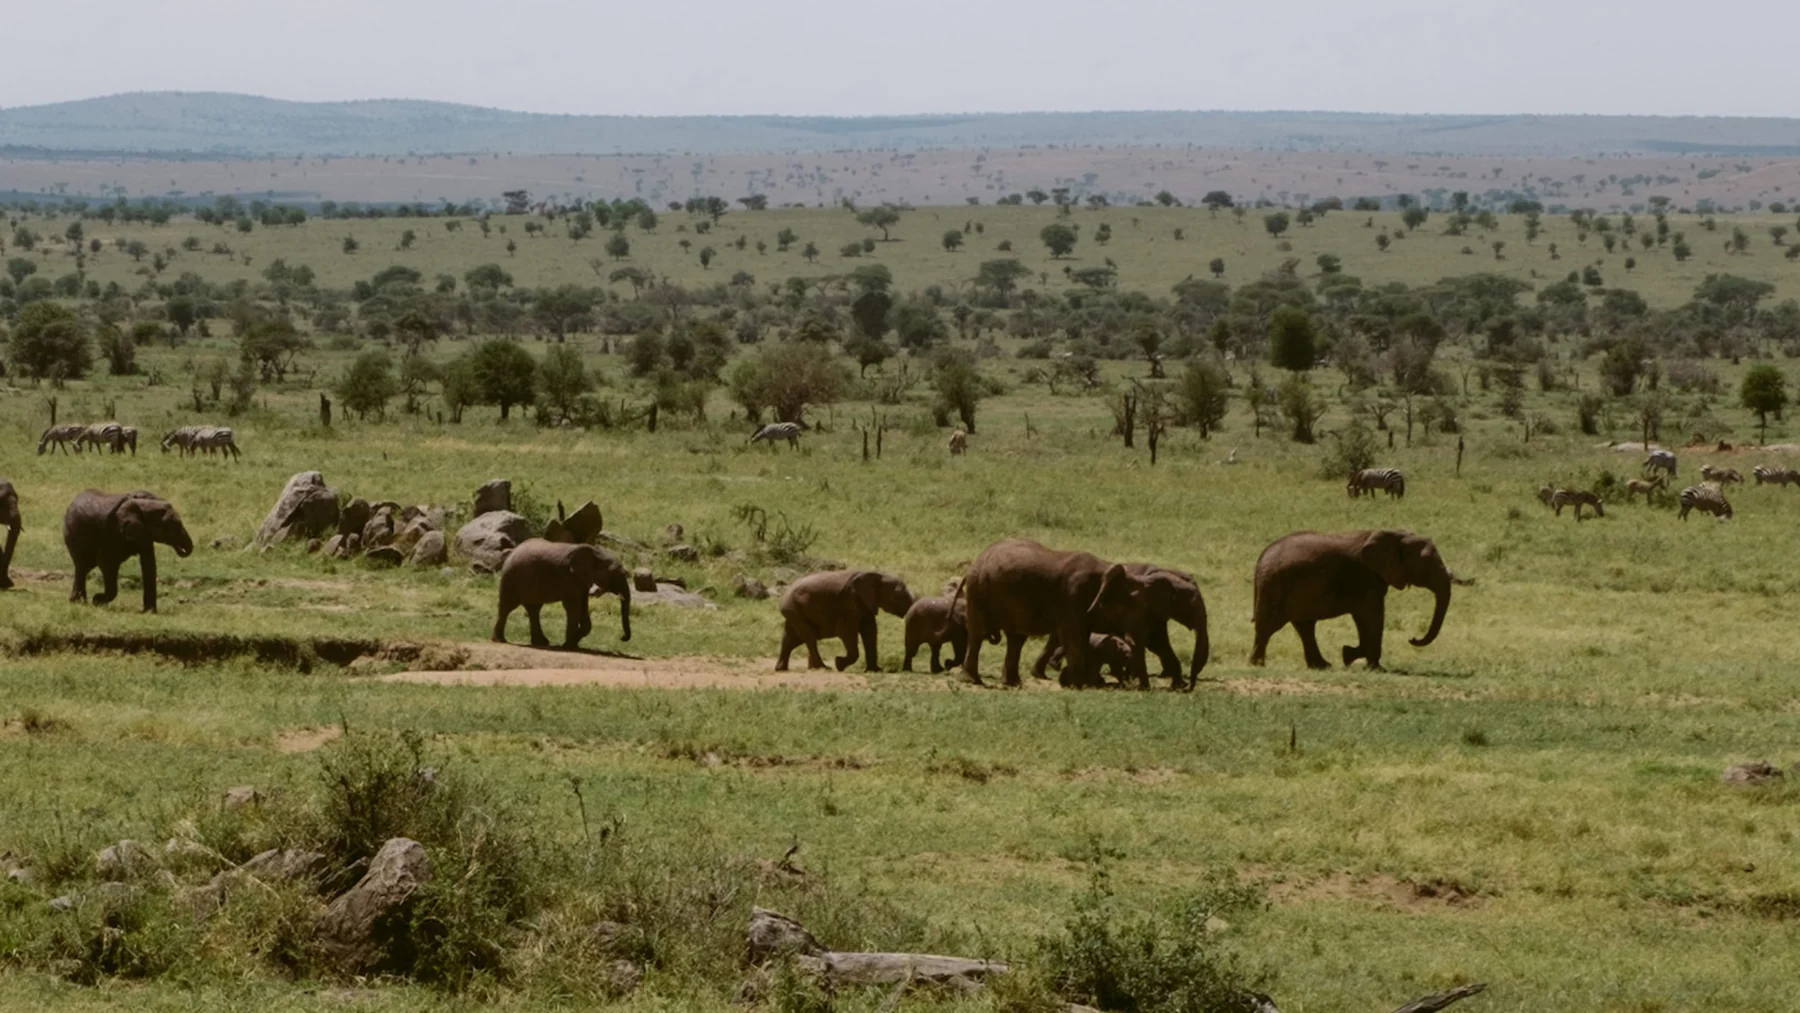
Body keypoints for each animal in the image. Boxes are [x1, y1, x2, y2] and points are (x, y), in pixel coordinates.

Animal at [63, 489, 194, 612]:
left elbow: (148, 562)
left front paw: (149, 612)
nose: (183, 550)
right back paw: (80, 602)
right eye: (175, 526)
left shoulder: (142, 532)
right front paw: (98, 601)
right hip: (74, 532)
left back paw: (79, 601)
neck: (147, 505)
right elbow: (106, 562)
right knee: (82, 565)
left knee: (85, 567)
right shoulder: (116, 531)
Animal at [493, 539, 631, 649]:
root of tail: (512, 551)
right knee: (507, 607)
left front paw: (572, 644)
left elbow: (583, 607)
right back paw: (499, 640)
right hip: (511, 577)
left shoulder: (581, 582)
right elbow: (573, 607)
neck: (597, 553)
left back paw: (541, 643)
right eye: (614, 574)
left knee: (534, 609)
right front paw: (568, 646)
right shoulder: (570, 578)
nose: (622, 637)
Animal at [776, 570, 915, 672]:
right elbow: (847, 632)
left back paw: (782, 669)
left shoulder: (864, 603)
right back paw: (823, 668)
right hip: (794, 609)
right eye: (898, 594)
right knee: (809, 637)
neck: (876, 574)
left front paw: (875, 670)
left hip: (794, 612)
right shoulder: (849, 603)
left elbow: (870, 631)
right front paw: (839, 663)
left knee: (791, 639)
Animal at [960, 538, 1167, 689]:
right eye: (1126, 608)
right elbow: (1074, 637)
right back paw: (973, 681)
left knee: (1016, 639)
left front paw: (1085, 683)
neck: (1104, 571)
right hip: (978, 590)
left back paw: (1013, 683)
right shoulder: (1071, 598)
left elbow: (1083, 638)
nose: (1143, 688)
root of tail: (977, 560)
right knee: (978, 633)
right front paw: (1078, 685)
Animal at [1249, 530, 1453, 671]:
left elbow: (1365, 618)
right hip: (1275, 586)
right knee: (1269, 626)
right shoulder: (1367, 577)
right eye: (1427, 564)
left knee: (1305, 627)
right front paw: (1368, 664)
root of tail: (1261, 557)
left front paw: (1349, 655)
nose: (1412, 638)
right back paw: (1257, 664)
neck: (1396, 535)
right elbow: (1372, 616)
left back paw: (1322, 666)